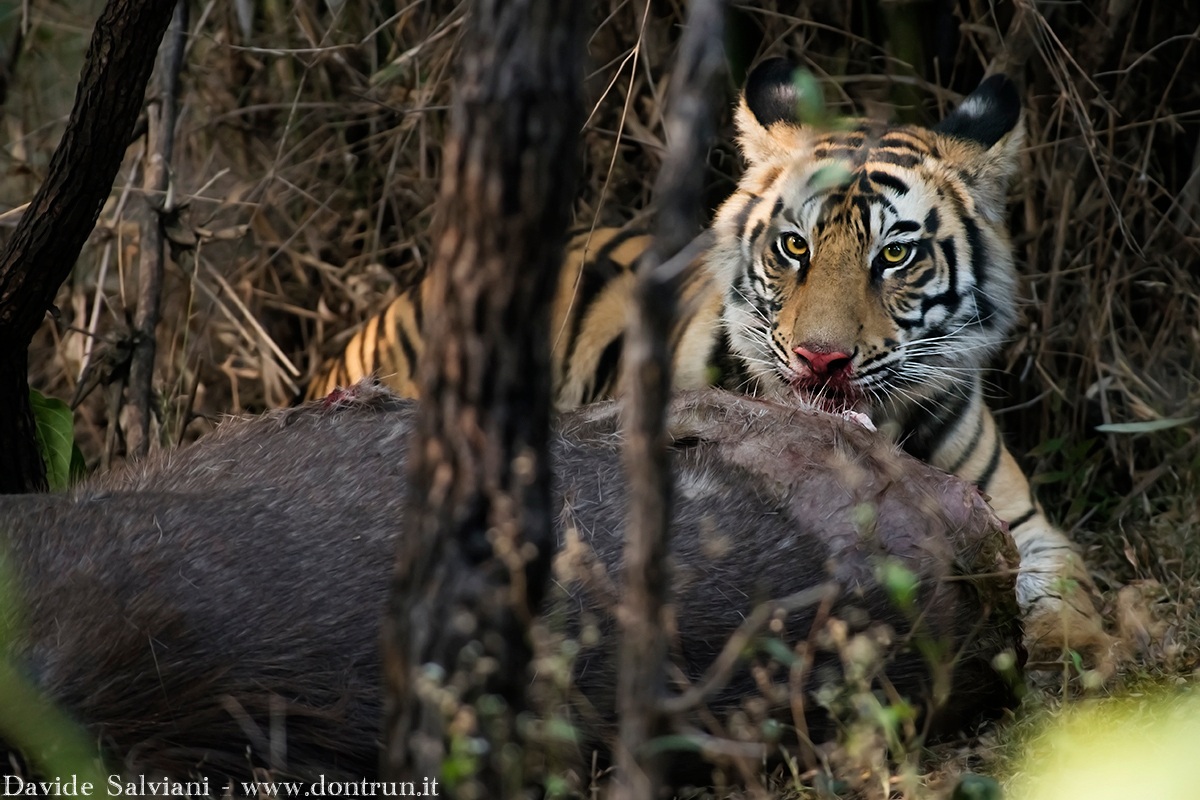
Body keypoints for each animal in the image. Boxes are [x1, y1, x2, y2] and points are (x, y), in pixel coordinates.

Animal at [304, 58, 1114, 667]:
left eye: (894, 256)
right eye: (795, 246)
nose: (822, 359)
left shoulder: (1029, 522)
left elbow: (1067, 587)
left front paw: (1075, 651)